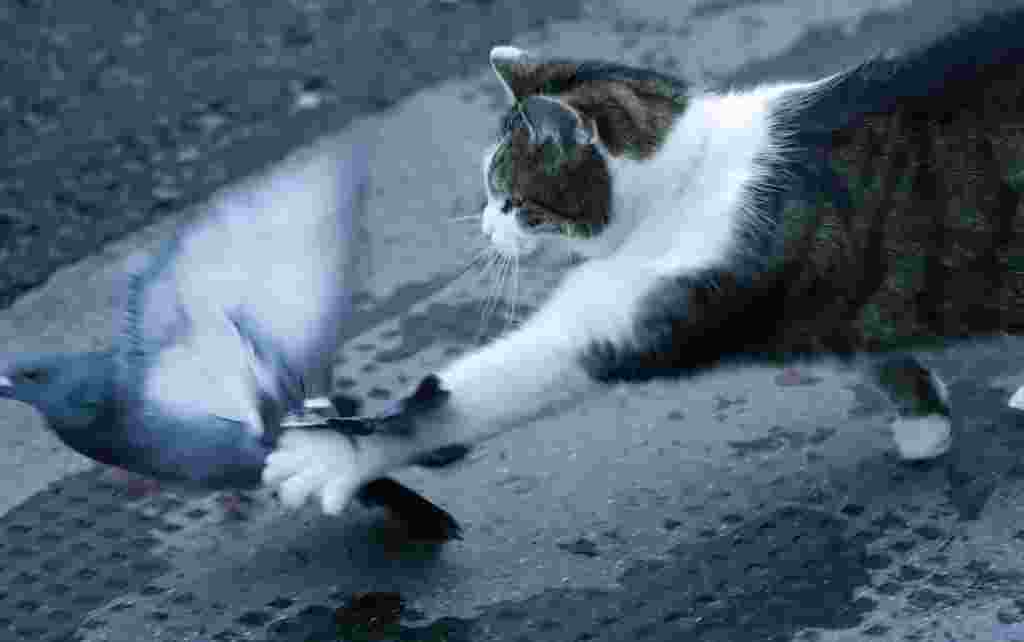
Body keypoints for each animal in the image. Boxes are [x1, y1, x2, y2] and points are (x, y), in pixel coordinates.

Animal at [264, 7, 1024, 520]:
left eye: (511, 200)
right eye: (490, 193)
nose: (484, 226)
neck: (687, 171)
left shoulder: (654, 303)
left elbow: (497, 383)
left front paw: (343, 454)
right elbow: (875, 349)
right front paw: (924, 424)